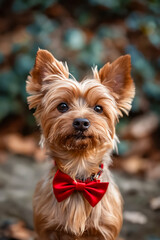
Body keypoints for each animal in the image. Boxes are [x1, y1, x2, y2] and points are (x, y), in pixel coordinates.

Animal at [26, 49, 135, 240]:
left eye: (98, 108)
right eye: (62, 106)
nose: (81, 122)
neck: (78, 175)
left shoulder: (106, 231)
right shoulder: (46, 229)